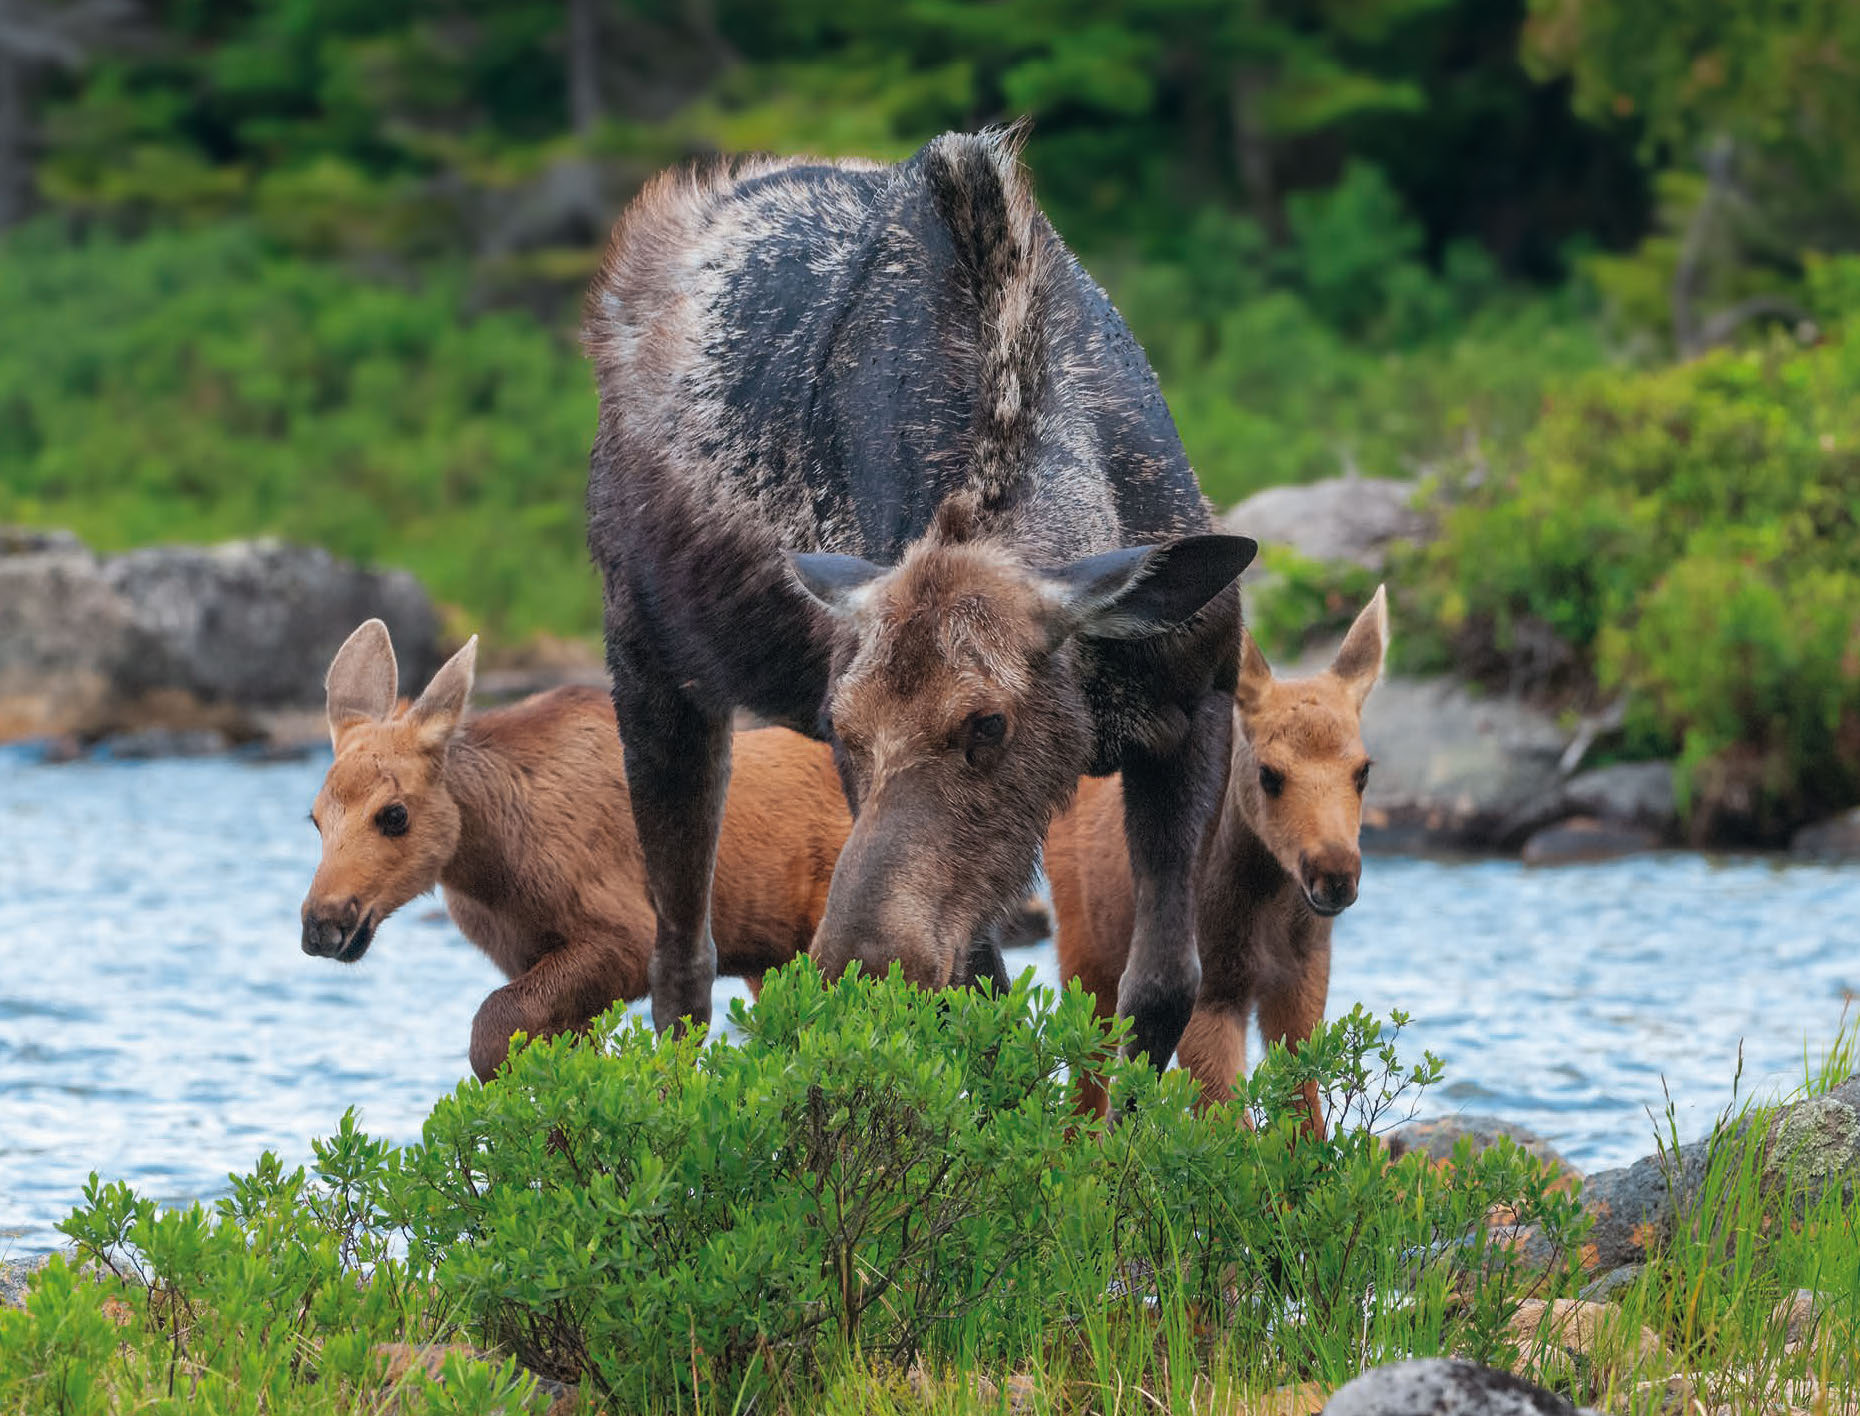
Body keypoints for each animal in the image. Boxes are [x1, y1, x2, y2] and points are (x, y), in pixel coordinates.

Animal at [299, 620, 1041, 1081]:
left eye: (393, 815)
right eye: (313, 818)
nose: (322, 923)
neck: (491, 865)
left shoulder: (626, 938)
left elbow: (490, 1033)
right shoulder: (531, 959)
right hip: (781, 959)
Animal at [585, 124, 1256, 1078]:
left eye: (989, 723)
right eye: (846, 727)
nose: (860, 960)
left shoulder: (1198, 702)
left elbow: (1160, 992)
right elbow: (980, 1009)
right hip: (649, 668)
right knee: (682, 959)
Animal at [1047, 587, 1389, 1134]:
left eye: (1363, 771)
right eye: (1270, 774)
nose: (1335, 875)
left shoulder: (1302, 985)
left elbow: (1304, 1121)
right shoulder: (1211, 996)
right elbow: (1229, 1128)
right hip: (1084, 954)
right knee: (1087, 1084)